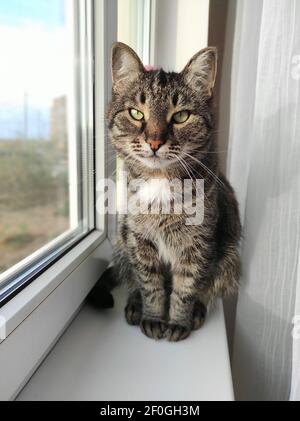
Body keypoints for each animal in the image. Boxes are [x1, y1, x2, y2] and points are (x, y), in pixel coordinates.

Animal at [105, 41, 241, 342]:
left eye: (181, 116)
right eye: (136, 113)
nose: (155, 142)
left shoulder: (197, 247)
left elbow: (186, 289)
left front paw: (179, 321)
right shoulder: (141, 242)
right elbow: (150, 286)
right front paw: (153, 317)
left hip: (229, 259)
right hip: (122, 240)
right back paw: (135, 305)